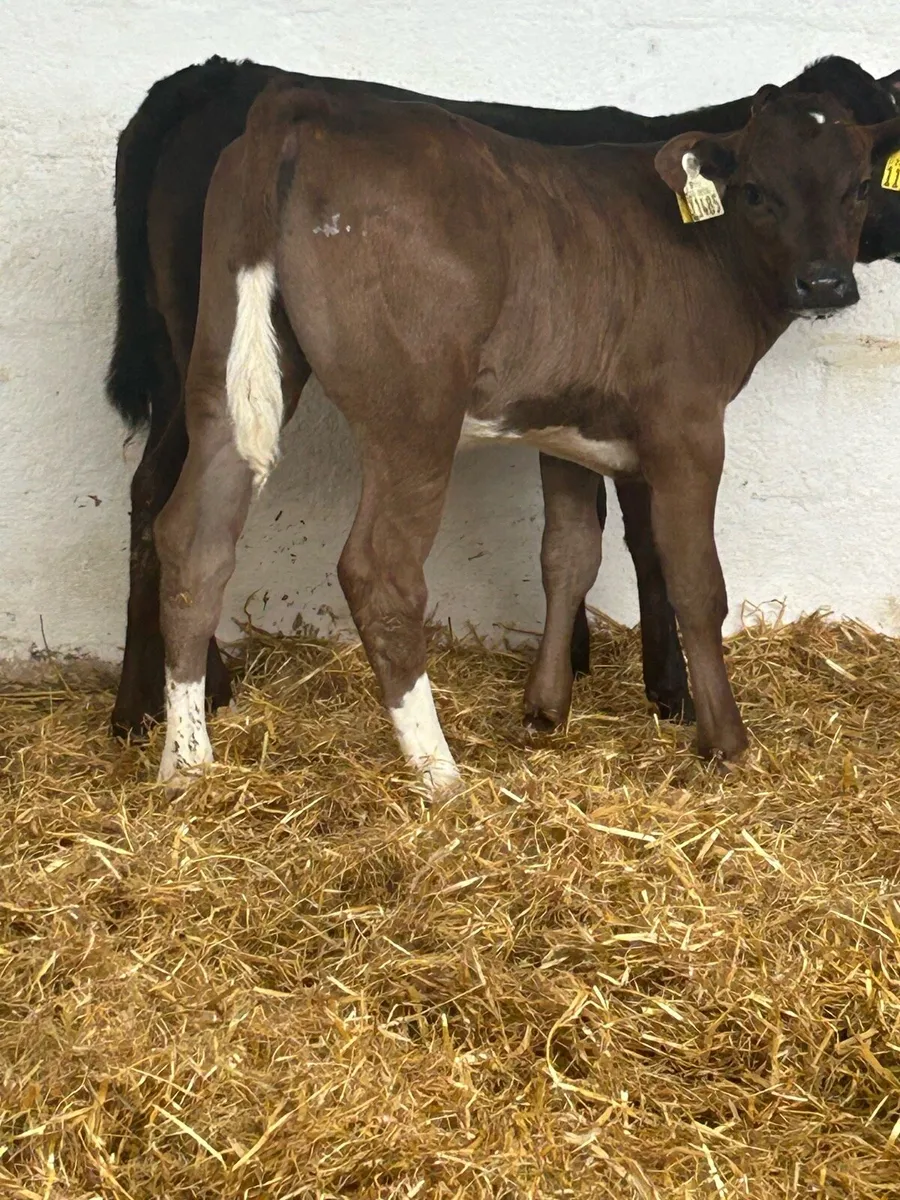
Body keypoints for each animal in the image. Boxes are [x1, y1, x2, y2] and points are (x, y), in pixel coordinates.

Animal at [107, 54, 900, 741]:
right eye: (757, 191)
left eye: (862, 184)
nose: (825, 282)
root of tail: (295, 102)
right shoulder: (684, 423)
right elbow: (688, 574)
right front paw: (715, 733)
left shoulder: (572, 424)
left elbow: (569, 554)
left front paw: (548, 705)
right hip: (413, 410)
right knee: (378, 569)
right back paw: (437, 777)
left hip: (228, 368)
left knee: (189, 529)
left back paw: (183, 754)